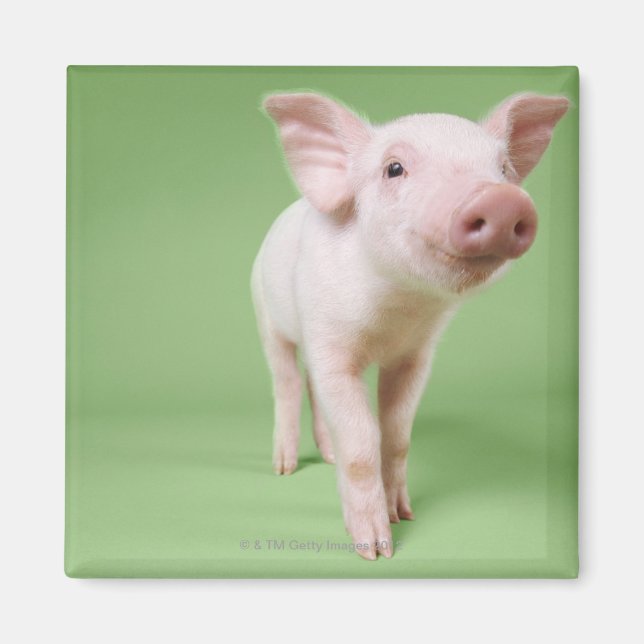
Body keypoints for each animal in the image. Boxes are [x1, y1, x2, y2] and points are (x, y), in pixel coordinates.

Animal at [251, 91, 569, 560]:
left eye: (503, 169)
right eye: (394, 168)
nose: (501, 199)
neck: (397, 311)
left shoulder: (416, 356)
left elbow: (397, 435)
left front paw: (404, 515)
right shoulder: (330, 343)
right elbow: (362, 442)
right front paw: (376, 549)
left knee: (310, 389)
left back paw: (327, 458)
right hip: (266, 315)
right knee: (287, 384)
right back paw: (285, 469)